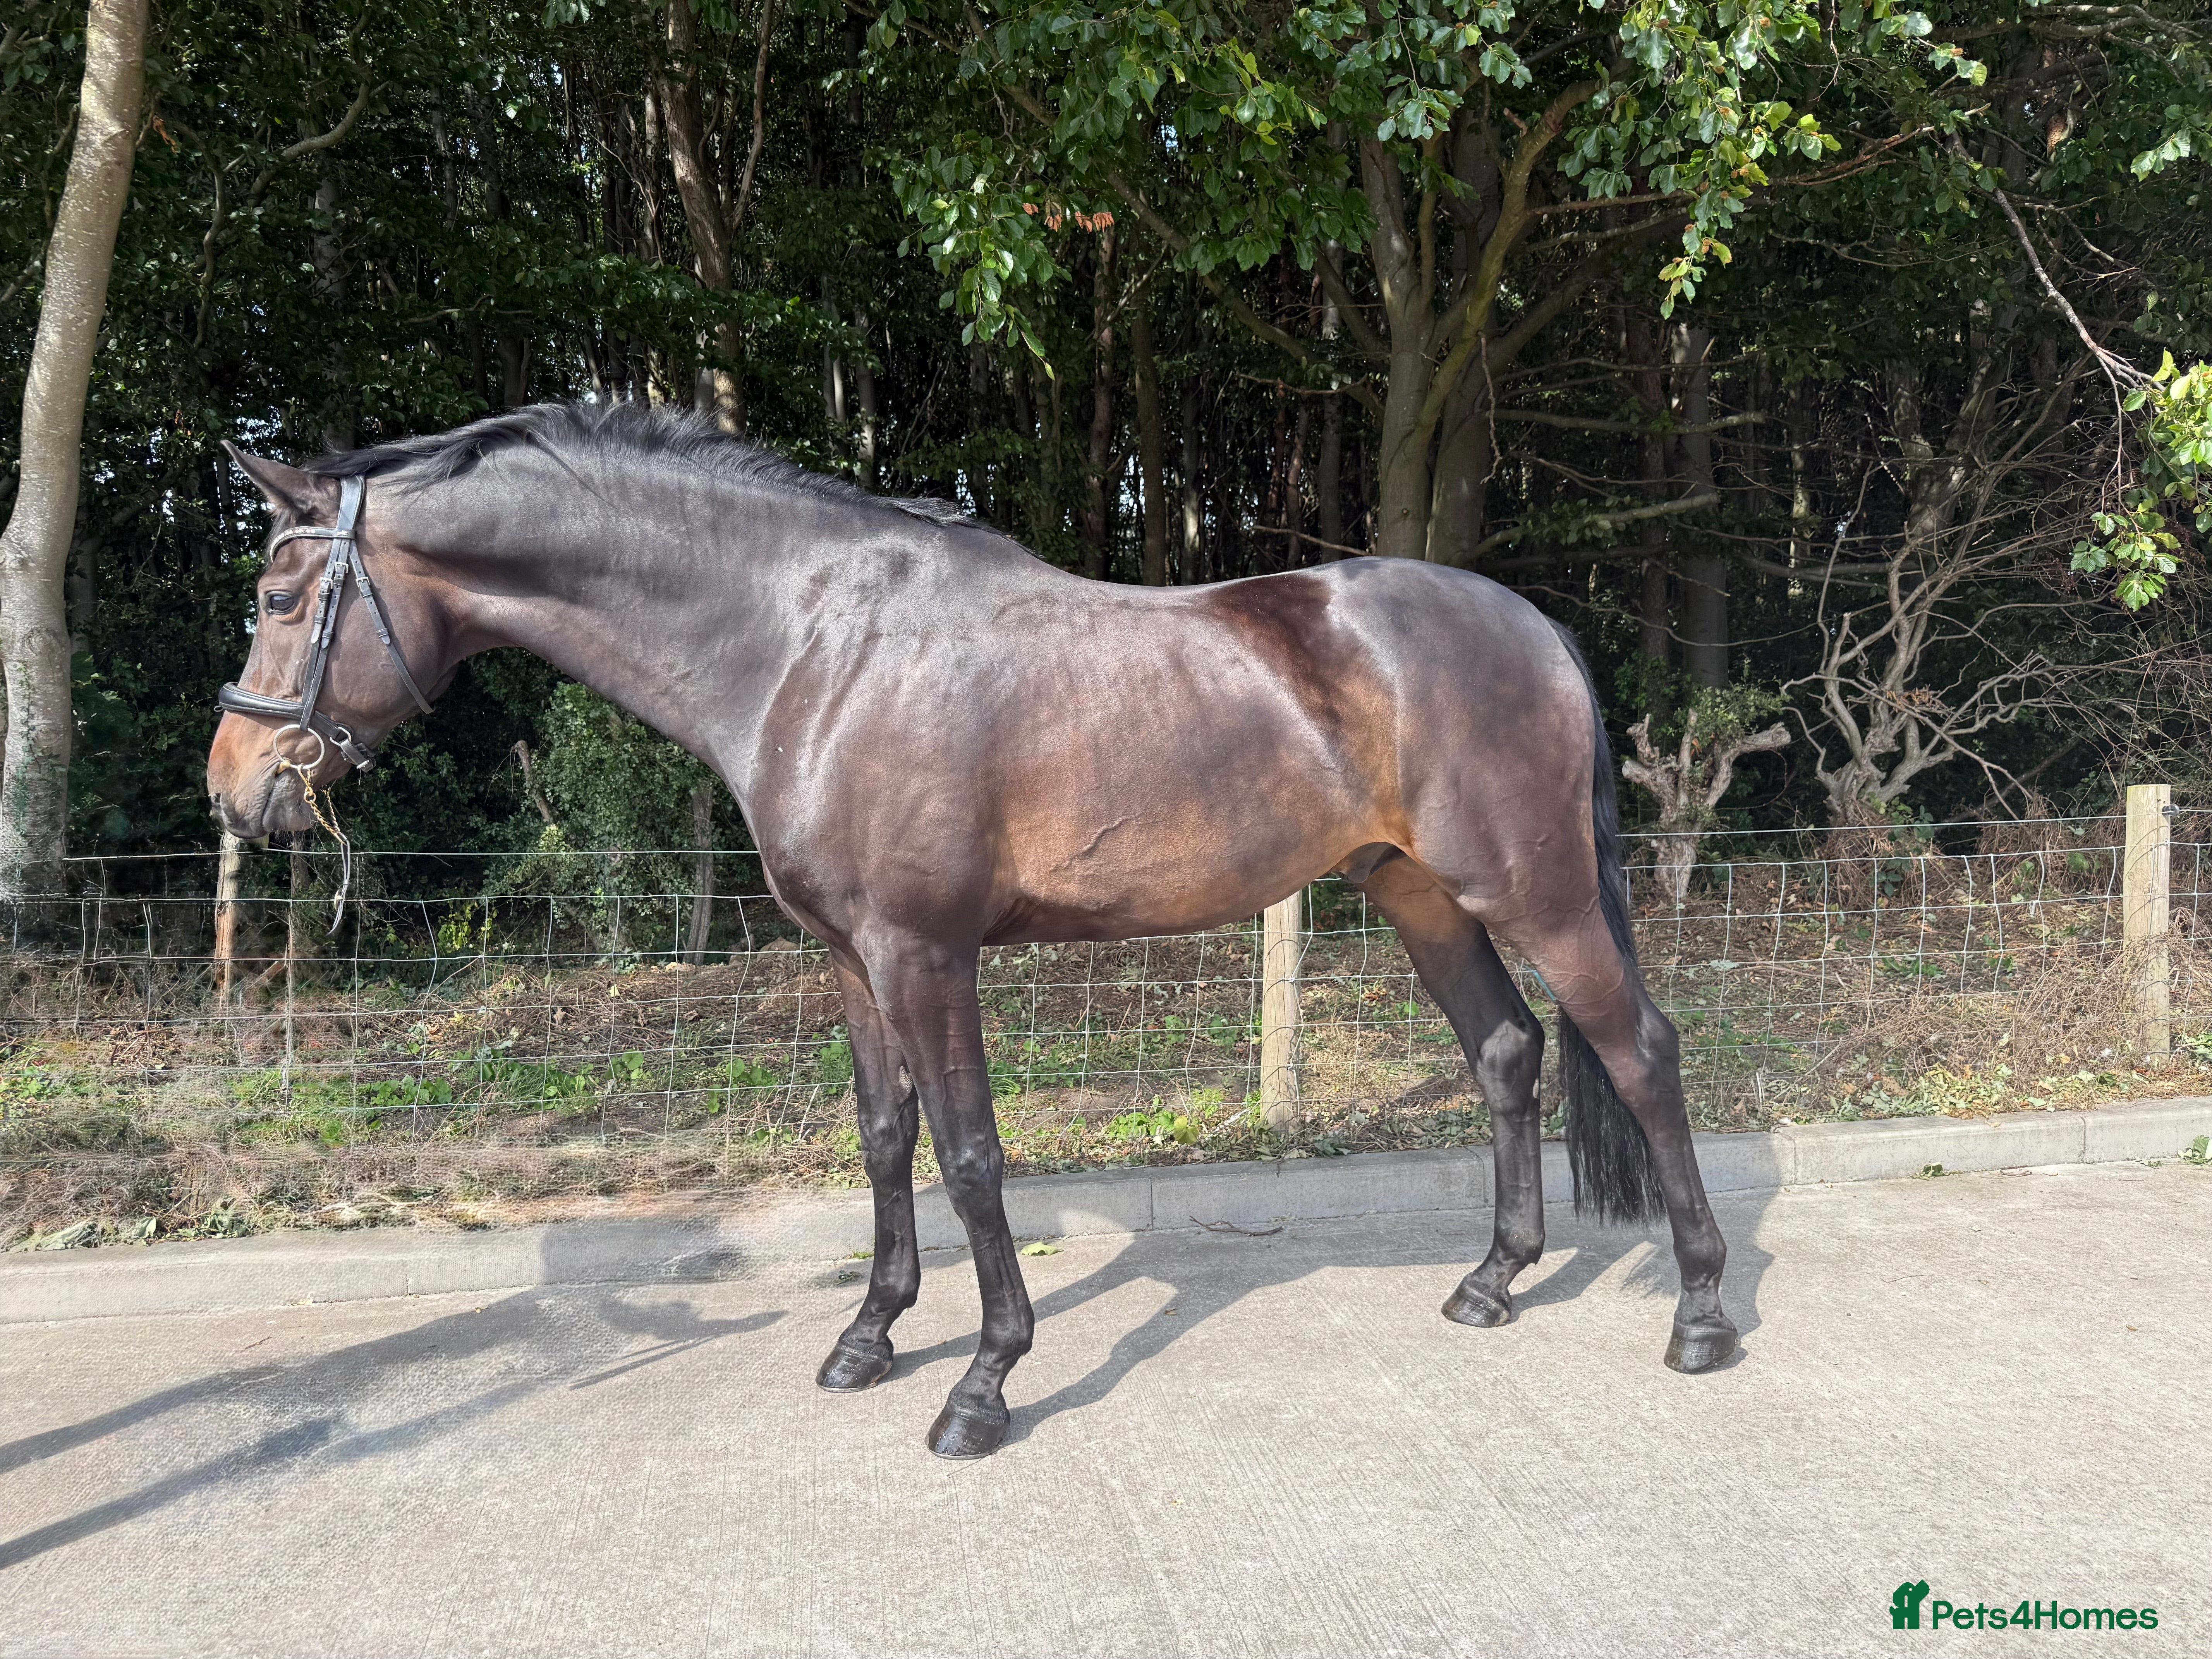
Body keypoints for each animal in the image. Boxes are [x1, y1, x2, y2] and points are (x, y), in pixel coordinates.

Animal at [206, 402, 1738, 1459]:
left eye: (283, 595)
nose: (236, 788)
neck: (812, 645)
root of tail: (1534, 629)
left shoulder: (924, 953)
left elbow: (971, 1154)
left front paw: (983, 1382)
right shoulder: (849, 958)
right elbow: (886, 1141)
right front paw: (868, 1337)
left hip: (1536, 890)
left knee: (1643, 1052)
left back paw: (1701, 1315)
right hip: (1417, 893)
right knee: (1505, 1053)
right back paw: (1490, 1283)